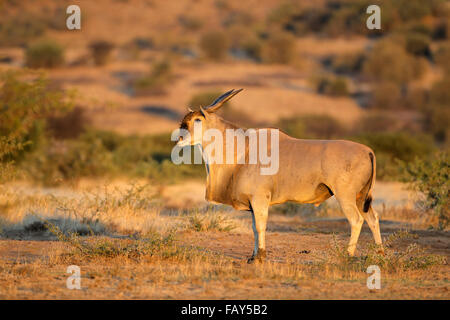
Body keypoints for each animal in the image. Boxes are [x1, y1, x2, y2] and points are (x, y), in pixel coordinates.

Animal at [176, 89, 384, 262]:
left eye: (197, 119)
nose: (179, 137)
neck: (243, 149)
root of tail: (368, 151)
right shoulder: (253, 204)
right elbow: (254, 227)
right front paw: (253, 256)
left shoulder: (260, 199)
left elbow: (261, 226)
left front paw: (260, 257)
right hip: (360, 198)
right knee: (372, 218)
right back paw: (379, 253)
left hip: (345, 197)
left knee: (356, 220)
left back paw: (348, 255)